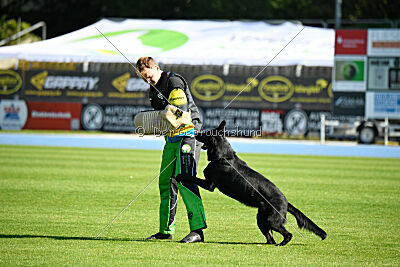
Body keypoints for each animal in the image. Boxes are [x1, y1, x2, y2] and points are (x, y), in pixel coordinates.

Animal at [177, 121, 324, 247]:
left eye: (206, 133)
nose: (195, 132)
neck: (223, 156)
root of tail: (286, 202)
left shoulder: (209, 184)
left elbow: (191, 177)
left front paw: (180, 176)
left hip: (272, 220)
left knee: (288, 234)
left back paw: (281, 244)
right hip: (261, 219)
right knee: (270, 237)